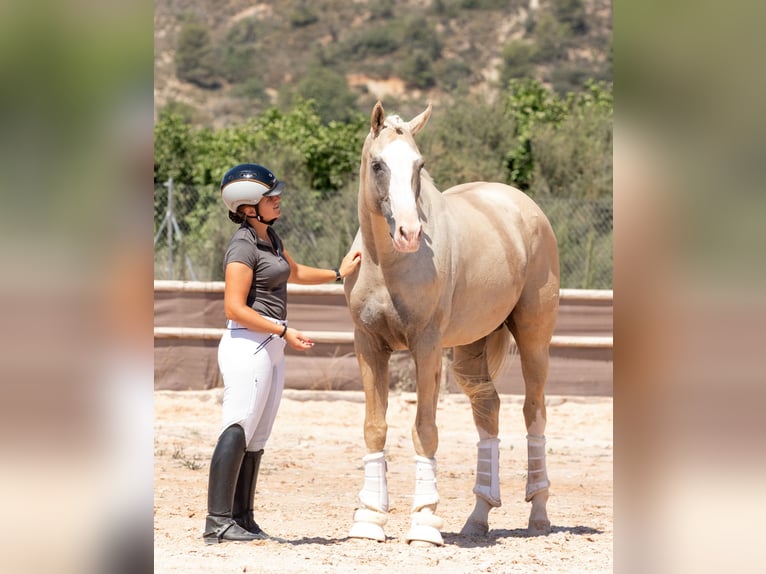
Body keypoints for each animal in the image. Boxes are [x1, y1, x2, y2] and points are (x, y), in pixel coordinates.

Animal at [342, 101, 560, 546]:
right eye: (377, 164)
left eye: (419, 164)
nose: (409, 232)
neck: (387, 266)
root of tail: (525, 208)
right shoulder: (368, 344)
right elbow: (374, 427)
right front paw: (369, 521)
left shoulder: (426, 346)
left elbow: (425, 429)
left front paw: (424, 524)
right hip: (470, 351)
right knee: (489, 412)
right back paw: (478, 518)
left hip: (534, 340)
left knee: (534, 412)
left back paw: (539, 515)